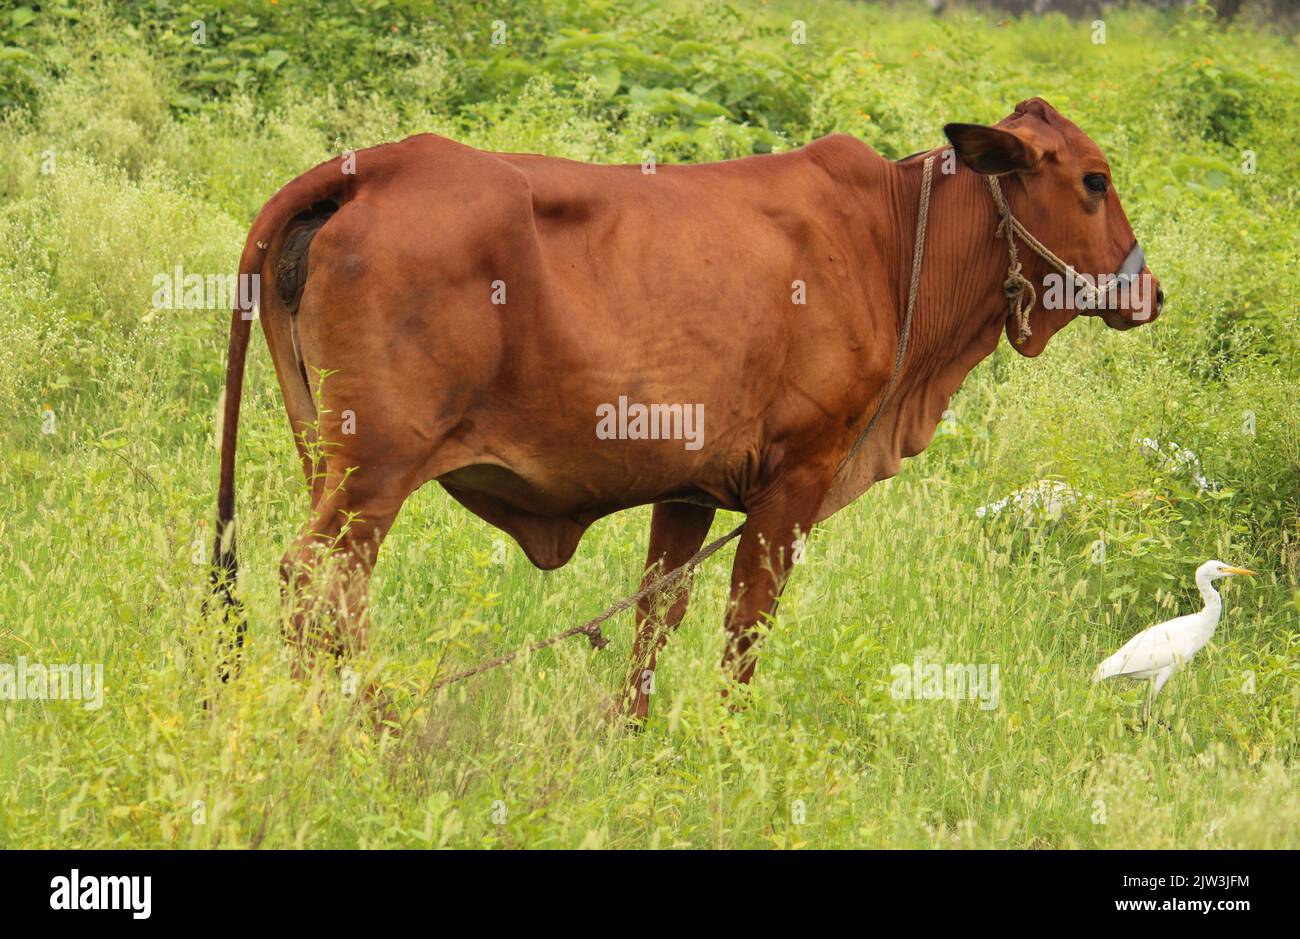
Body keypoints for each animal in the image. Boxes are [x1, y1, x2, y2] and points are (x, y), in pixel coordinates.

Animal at [210, 98, 1159, 723]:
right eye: (1094, 180)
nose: (1149, 291)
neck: (891, 243)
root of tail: (372, 168)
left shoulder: (690, 486)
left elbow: (655, 617)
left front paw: (634, 733)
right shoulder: (795, 478)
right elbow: (746, 625)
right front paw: (725, 741)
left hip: (328, 457)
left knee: (339, 591)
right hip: (377, 468)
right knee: (312, 579)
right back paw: (337, 726)